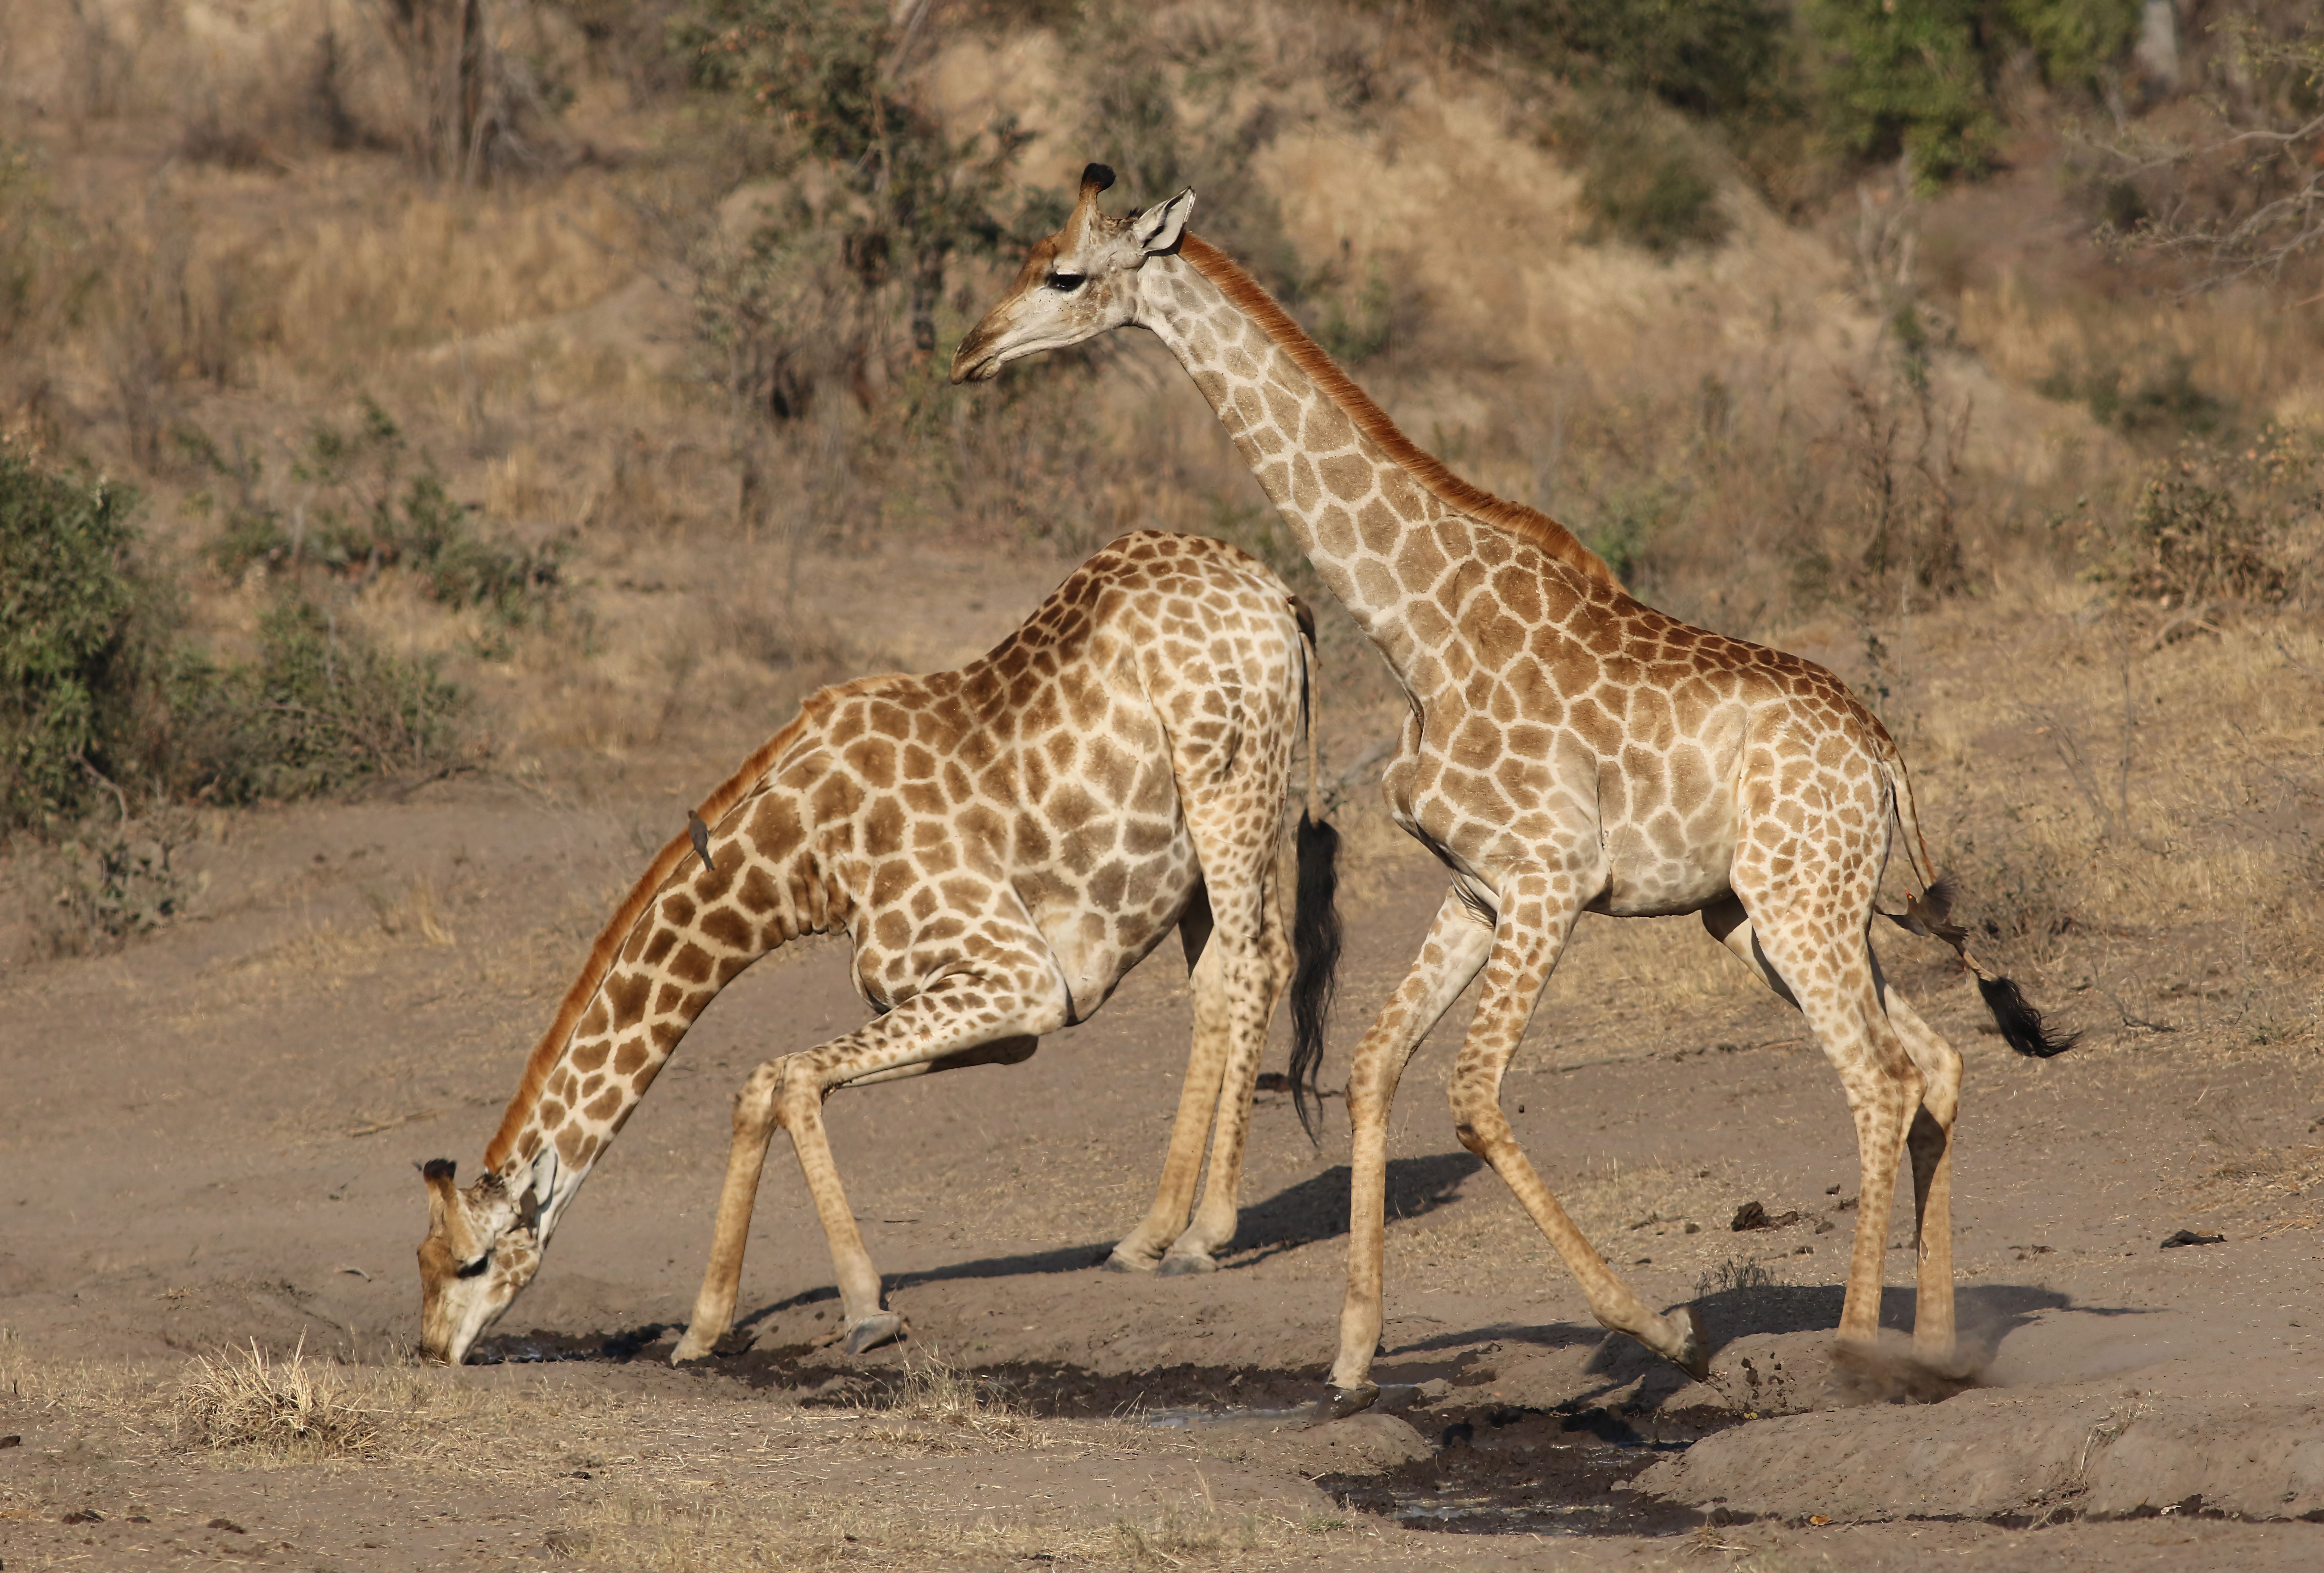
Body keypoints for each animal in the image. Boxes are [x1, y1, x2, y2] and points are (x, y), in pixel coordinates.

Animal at [416, 530, 1343, 1366]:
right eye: (420, 1260)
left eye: (473, 1261)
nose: (432, 1349)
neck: (802, 860)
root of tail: (1280, 598)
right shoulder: (975, 1012)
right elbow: (769, 1082)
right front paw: (702, 1331)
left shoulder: (1017, 976)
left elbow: (791, 1076)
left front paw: (866, 1311)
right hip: (1196, 857)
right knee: (1217, 983)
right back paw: (1146, 1236)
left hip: (1230, 790)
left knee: (1261, 962)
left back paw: (1202, 1237)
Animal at [953, 165, 2072, 1416]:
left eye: (1063, 275)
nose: (972, 352)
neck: (1420, 626)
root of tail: (1881, 754)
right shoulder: (1475, 888)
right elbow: (1373, 1065)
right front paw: (1350, 1364)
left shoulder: (1551, 876)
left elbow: (1475, 1097)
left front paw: (1666, 1332)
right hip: (1771, 916)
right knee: (1936, 1063)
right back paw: (1931, 1349)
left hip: (1798, 908)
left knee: (1879, 1080)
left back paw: (1852, 1351)